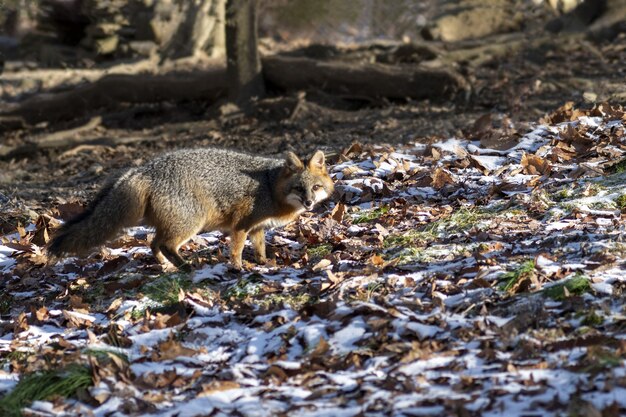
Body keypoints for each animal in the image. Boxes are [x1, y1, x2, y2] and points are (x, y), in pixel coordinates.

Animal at [47, 147, 334, 270]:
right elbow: (237, 250)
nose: (309, 203)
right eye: (299, 189)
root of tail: (144, 169)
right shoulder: (240, 225)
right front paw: (238, 267)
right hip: (191, 224)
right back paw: (186, 266)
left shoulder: (257, 228)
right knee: (164, 244)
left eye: (315, 187)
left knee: (153, 243)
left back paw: (168, 266)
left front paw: (264, 262)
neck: (269, 185)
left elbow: (260, 248)